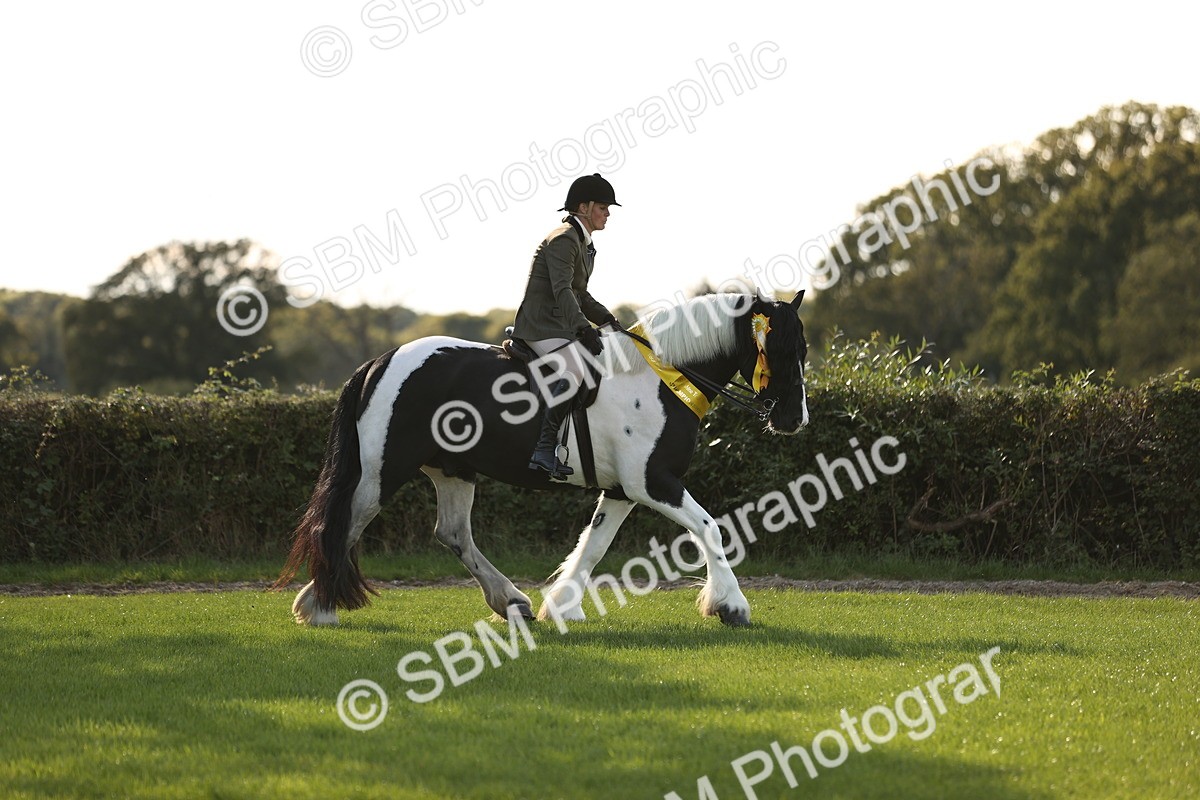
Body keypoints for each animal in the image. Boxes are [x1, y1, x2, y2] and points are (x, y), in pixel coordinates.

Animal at [274, 291, 808, 627]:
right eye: (782, 349)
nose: (794, 419)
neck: (660, 378)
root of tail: (381, 362)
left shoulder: (622, 490)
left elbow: (592, 546)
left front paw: (563, 607)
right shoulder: (654, 482)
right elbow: (711, 528)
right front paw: (731, 606)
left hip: (452, 470)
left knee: (452, 533)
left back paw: (510, 601)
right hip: (384, 468)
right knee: (345, 523)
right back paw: (320, 607)